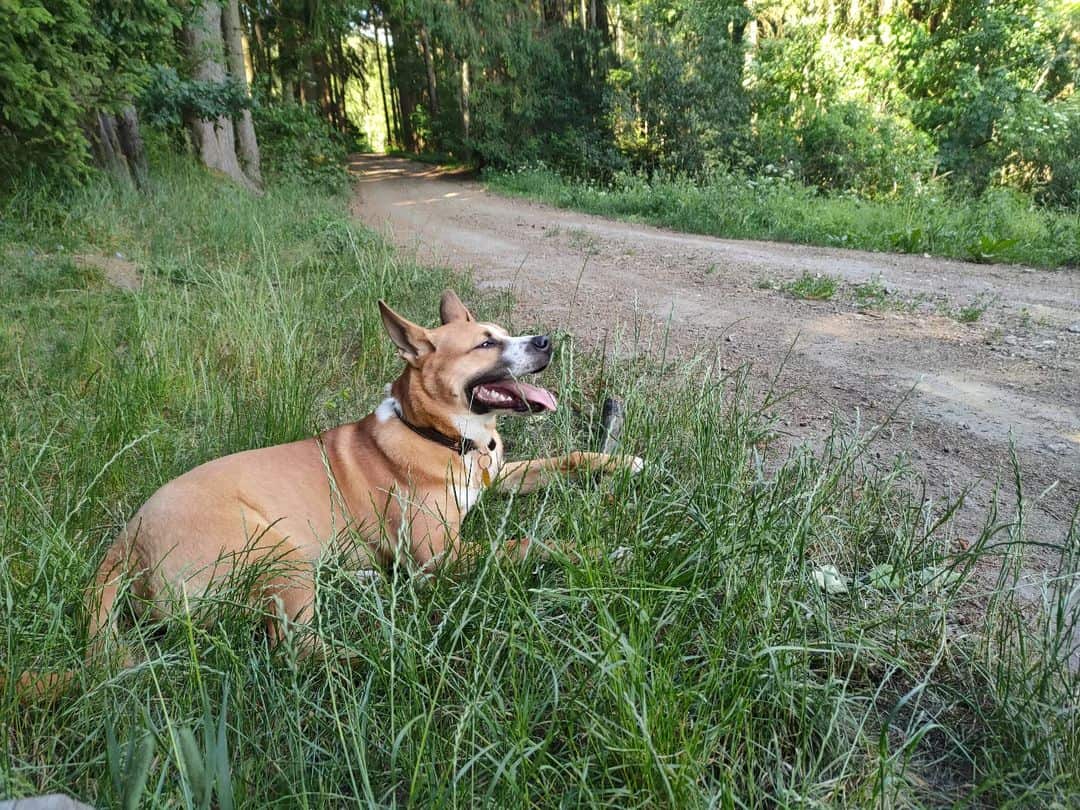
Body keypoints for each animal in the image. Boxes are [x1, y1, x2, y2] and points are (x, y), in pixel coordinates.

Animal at [12, 291, 639, 699]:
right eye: (486, 343)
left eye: (506, 332)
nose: (547, 341)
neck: (440, 435)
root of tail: (127, 540)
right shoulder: (438, 559)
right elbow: (528, 543)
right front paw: (598, 555)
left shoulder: (495, 478)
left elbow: (563, 461)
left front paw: (619, 462)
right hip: (277, 548)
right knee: (295, 646)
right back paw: (393, 658)